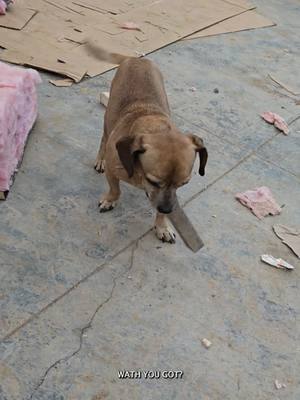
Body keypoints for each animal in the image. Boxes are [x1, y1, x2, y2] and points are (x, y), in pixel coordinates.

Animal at [85, 43, 207, 244]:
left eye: (184, 184)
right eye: (154, 181)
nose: (167, 209)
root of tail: (135, 59)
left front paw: (162, 225)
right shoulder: (113, 171)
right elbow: (115, 189)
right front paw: (110, 199)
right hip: (109, 117)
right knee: (104, 138)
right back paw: (100, 159)